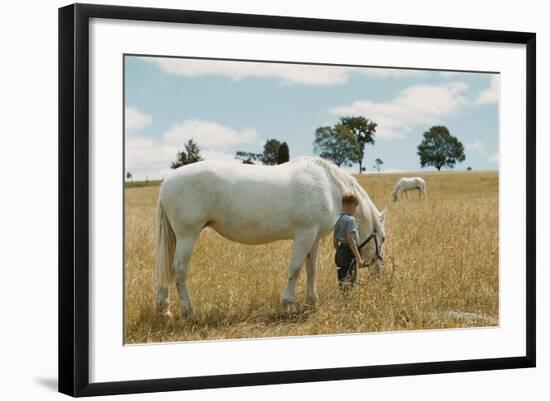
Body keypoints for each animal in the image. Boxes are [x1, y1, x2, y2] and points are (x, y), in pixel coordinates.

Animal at [155, 155, 388, 316]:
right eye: (383, 238)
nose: (379, 272)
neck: (328, 187)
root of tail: (167, 181)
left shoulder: (313, 238)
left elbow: (311, 269)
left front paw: (312, 301)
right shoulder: (304, 234)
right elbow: (295, 268)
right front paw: (288, 305)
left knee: (165, 268)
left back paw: (164, 309)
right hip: (187, 235)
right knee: (179, 269)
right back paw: (188, 311)